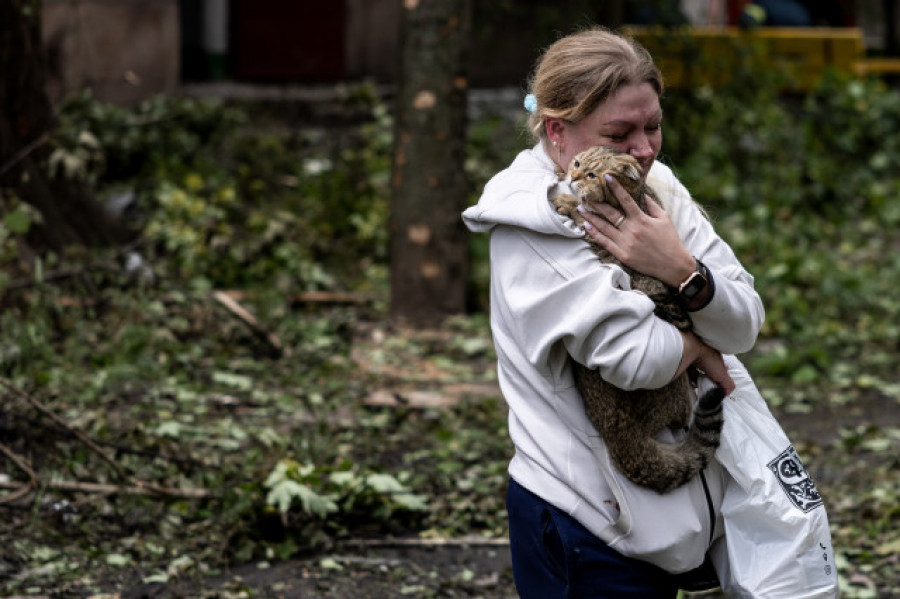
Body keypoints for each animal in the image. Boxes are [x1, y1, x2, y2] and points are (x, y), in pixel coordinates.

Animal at [552, 144, 728, 492]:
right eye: (576, 163)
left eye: (591, 174)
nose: (572, 176)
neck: (631, 197)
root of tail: (618, 435)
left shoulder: (605, 238)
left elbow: (582, 214)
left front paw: (566, 200)